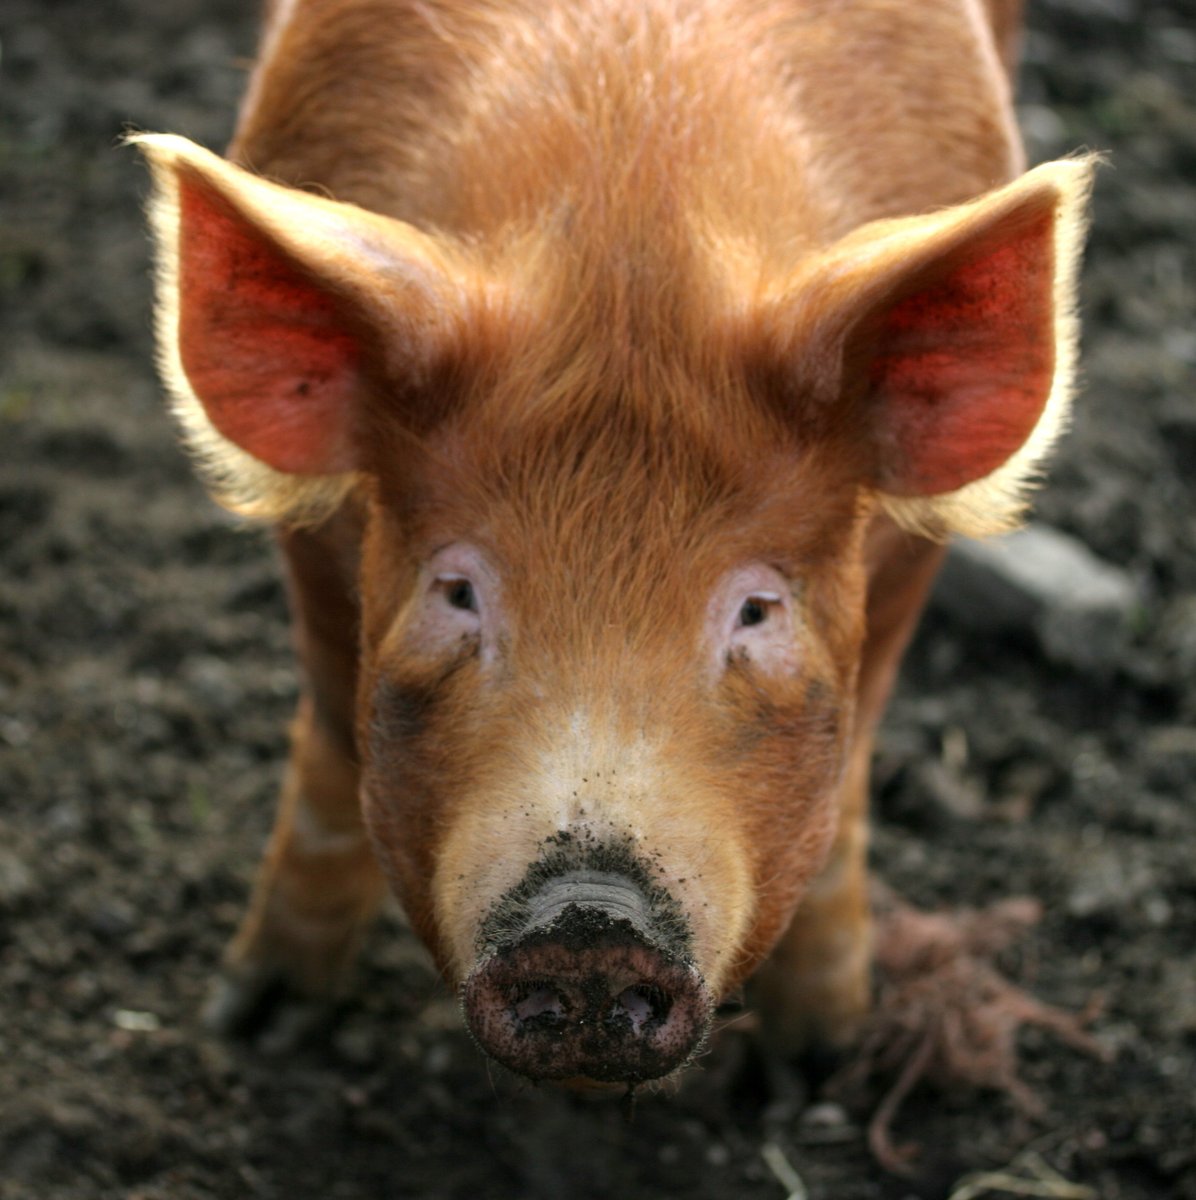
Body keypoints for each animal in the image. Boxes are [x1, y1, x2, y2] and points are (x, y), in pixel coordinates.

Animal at [133, 0, 1094, 1089]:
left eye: (756, 608)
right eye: (458, 591)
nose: (590, 922)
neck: (628, 242)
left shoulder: (904, 566)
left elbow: (846, 771)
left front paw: (819, 1063)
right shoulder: (316, 544)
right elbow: (336, 744)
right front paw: (251, 1021)